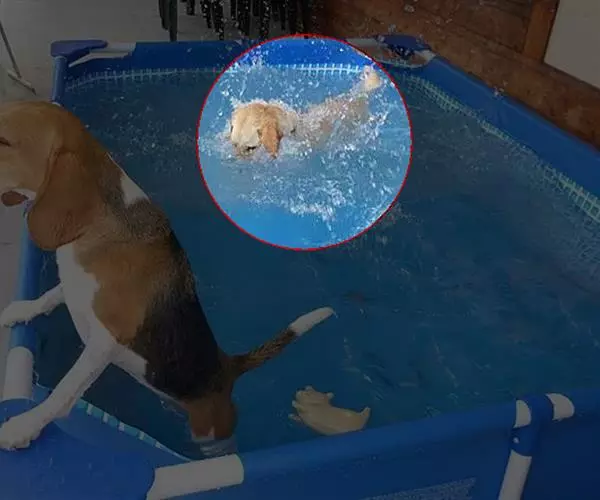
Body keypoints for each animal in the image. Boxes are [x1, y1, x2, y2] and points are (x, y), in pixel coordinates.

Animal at [0, 100, 334, 451]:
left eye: (5, 141)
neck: (98, 227)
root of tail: (226, 367)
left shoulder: (104, 342)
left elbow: (63, 392)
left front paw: (24, 425)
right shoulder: (75, 285)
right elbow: (48, 297)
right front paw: (23, 310)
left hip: (210, 430)